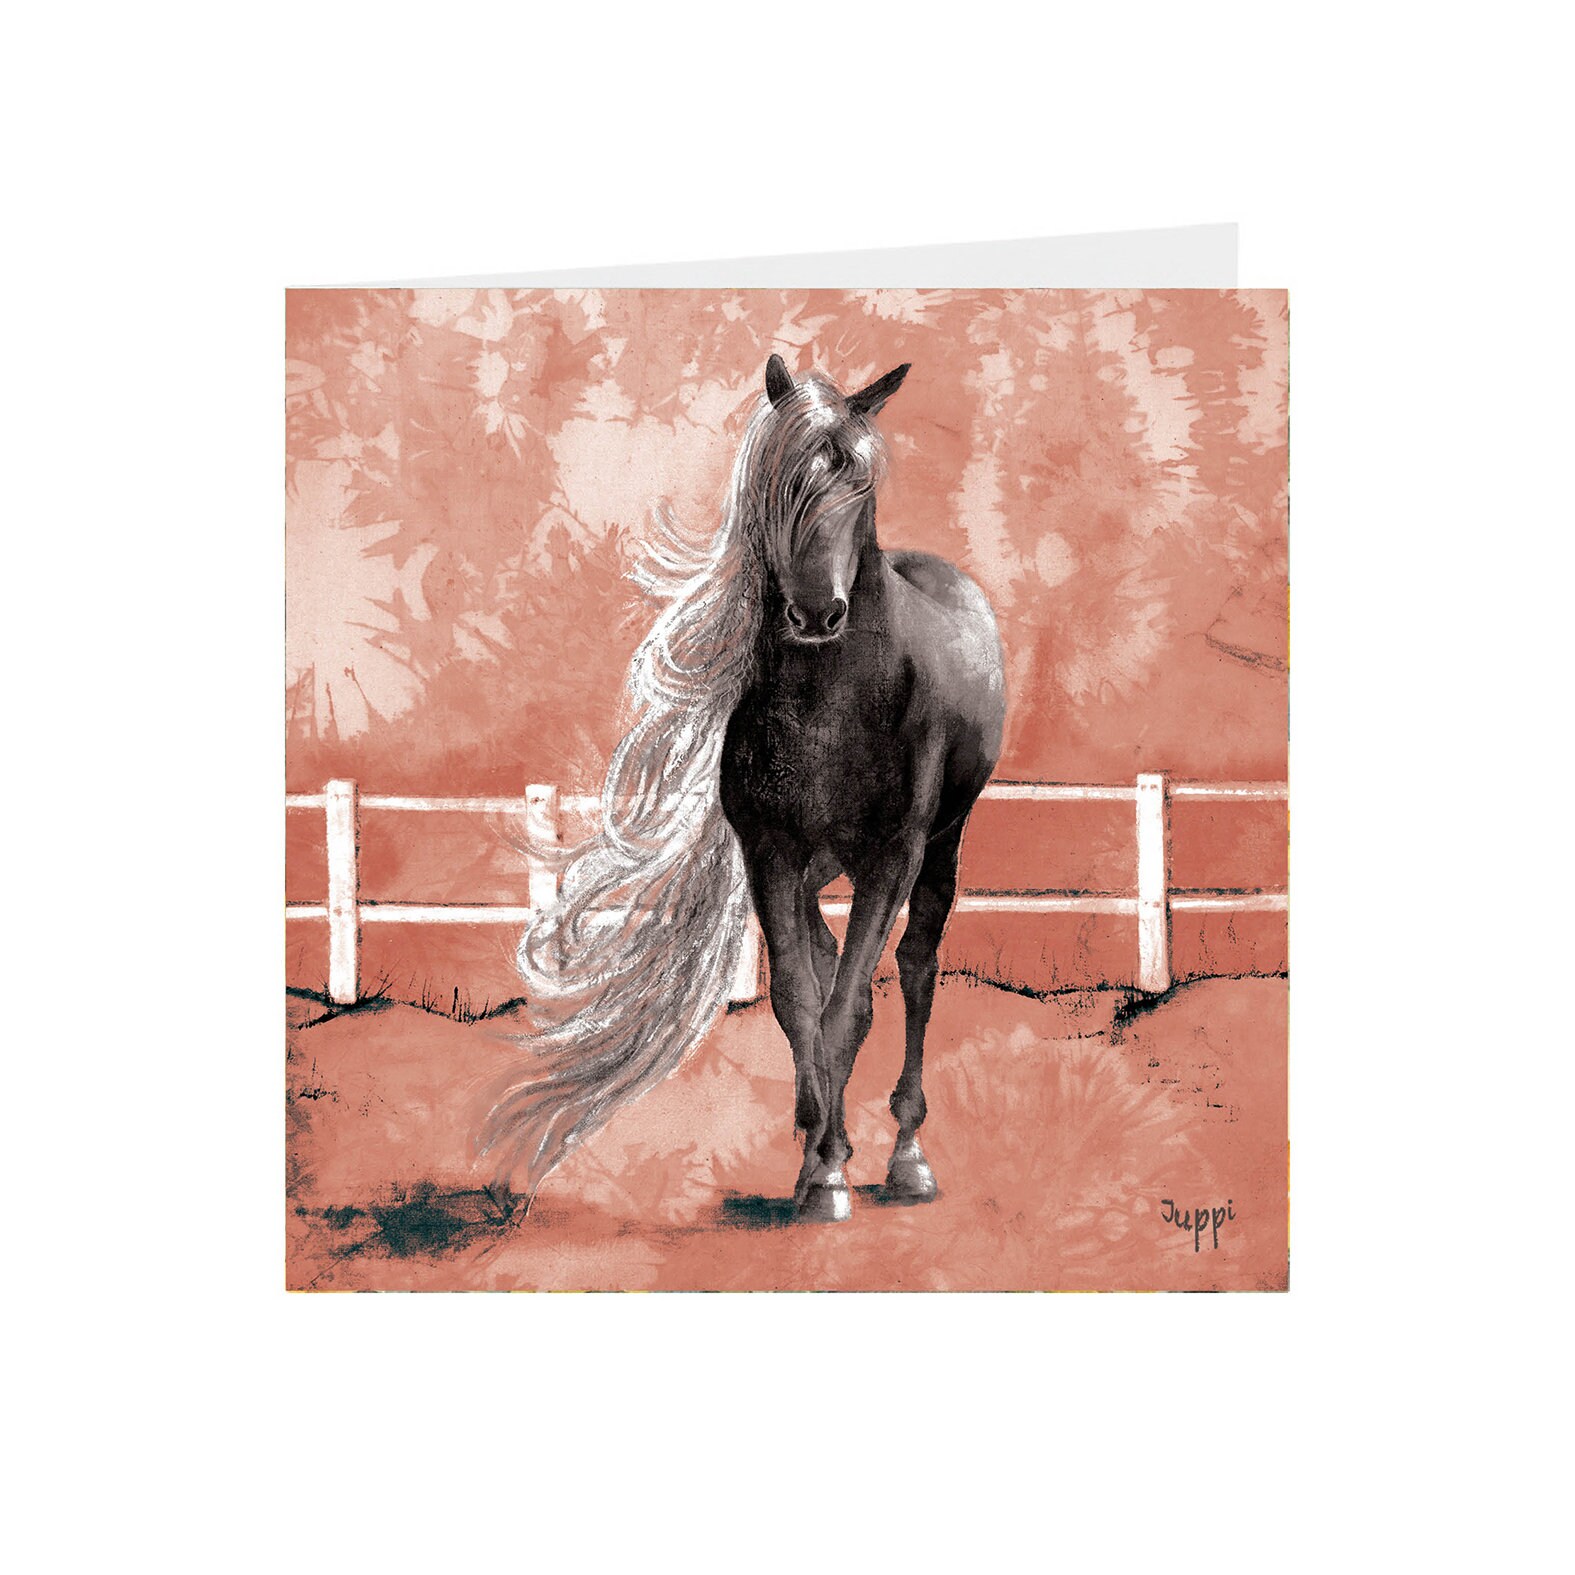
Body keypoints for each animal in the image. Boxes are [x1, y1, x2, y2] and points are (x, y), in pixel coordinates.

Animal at [478, 354, 1005, 1223]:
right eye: (780, 486)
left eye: (858, 482)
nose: (816, 612)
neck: (831, 702)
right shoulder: (771, 854)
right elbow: (798, 998)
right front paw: (818, 1162)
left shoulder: (890, 857)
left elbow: (851, 1003)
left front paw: (833, 1171)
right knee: (828, 963)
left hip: (940, 844)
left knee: (917, 966)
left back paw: (907, 1154)